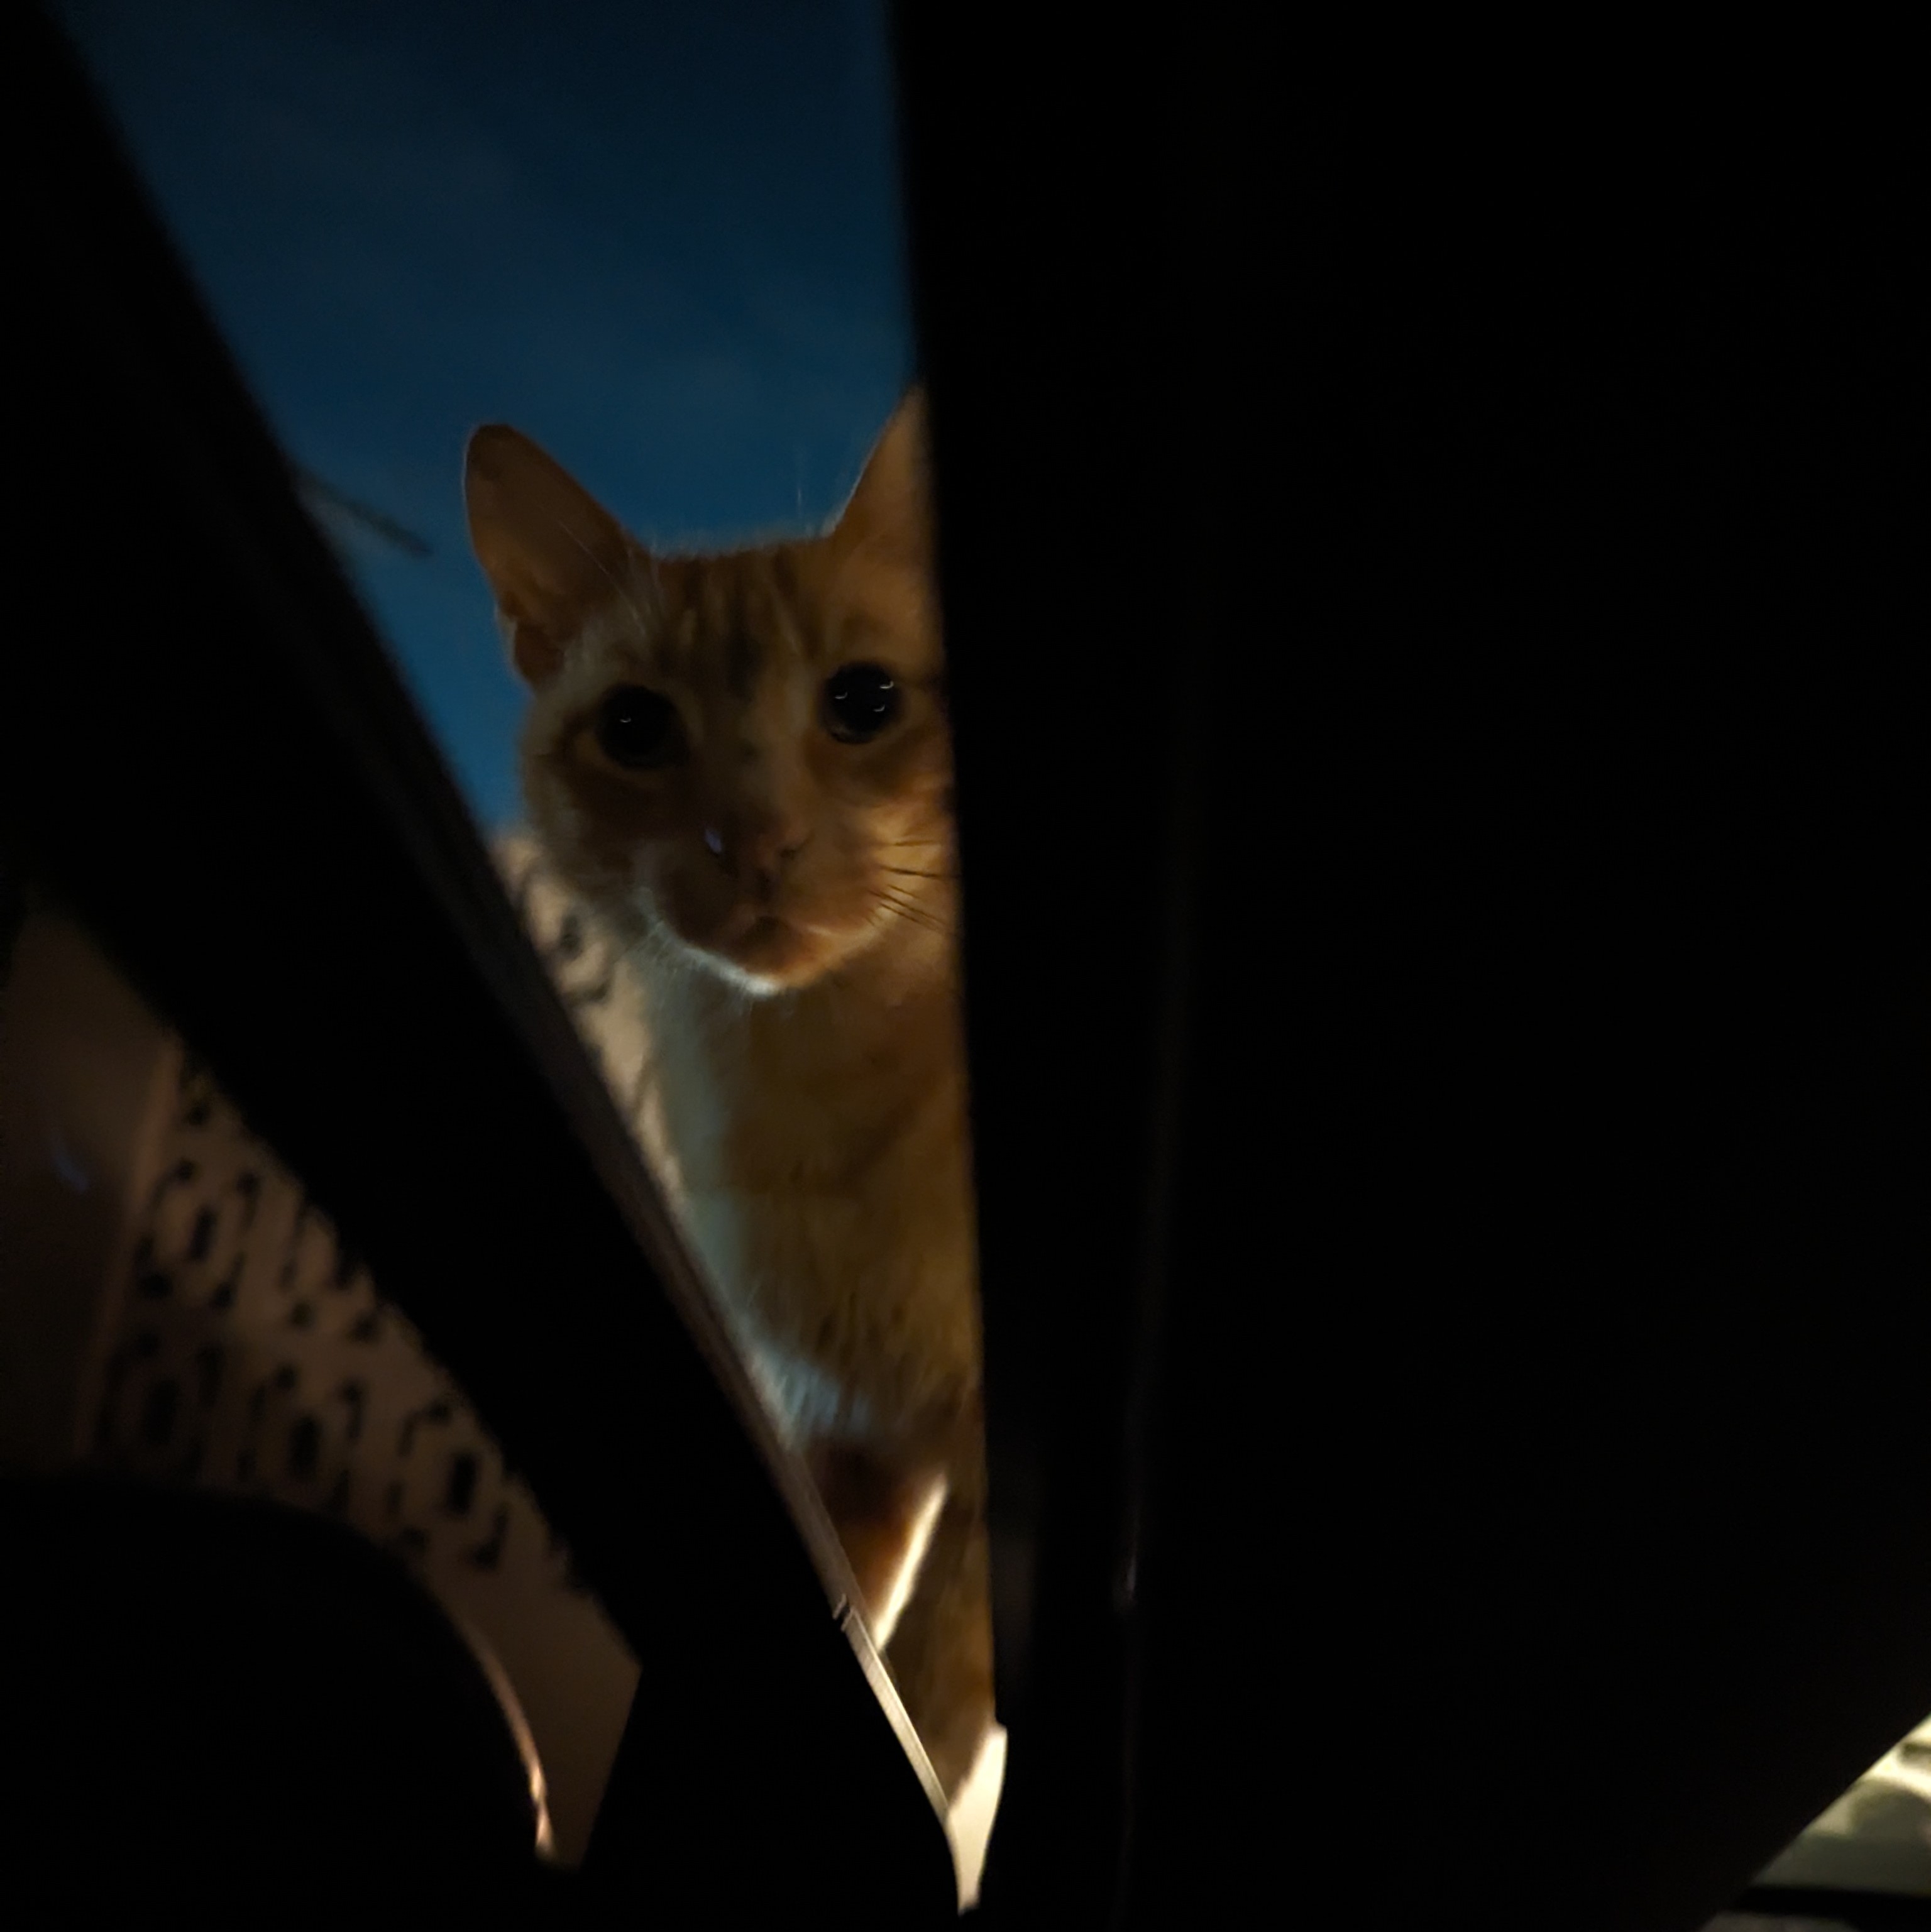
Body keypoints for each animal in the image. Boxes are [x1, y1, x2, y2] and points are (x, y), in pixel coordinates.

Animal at [463, 391, 994, 1804]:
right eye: (637, 728)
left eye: (863, 700)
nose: (750, 839)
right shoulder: (850, 1440)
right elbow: (869, 1659)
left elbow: (944, 1696)